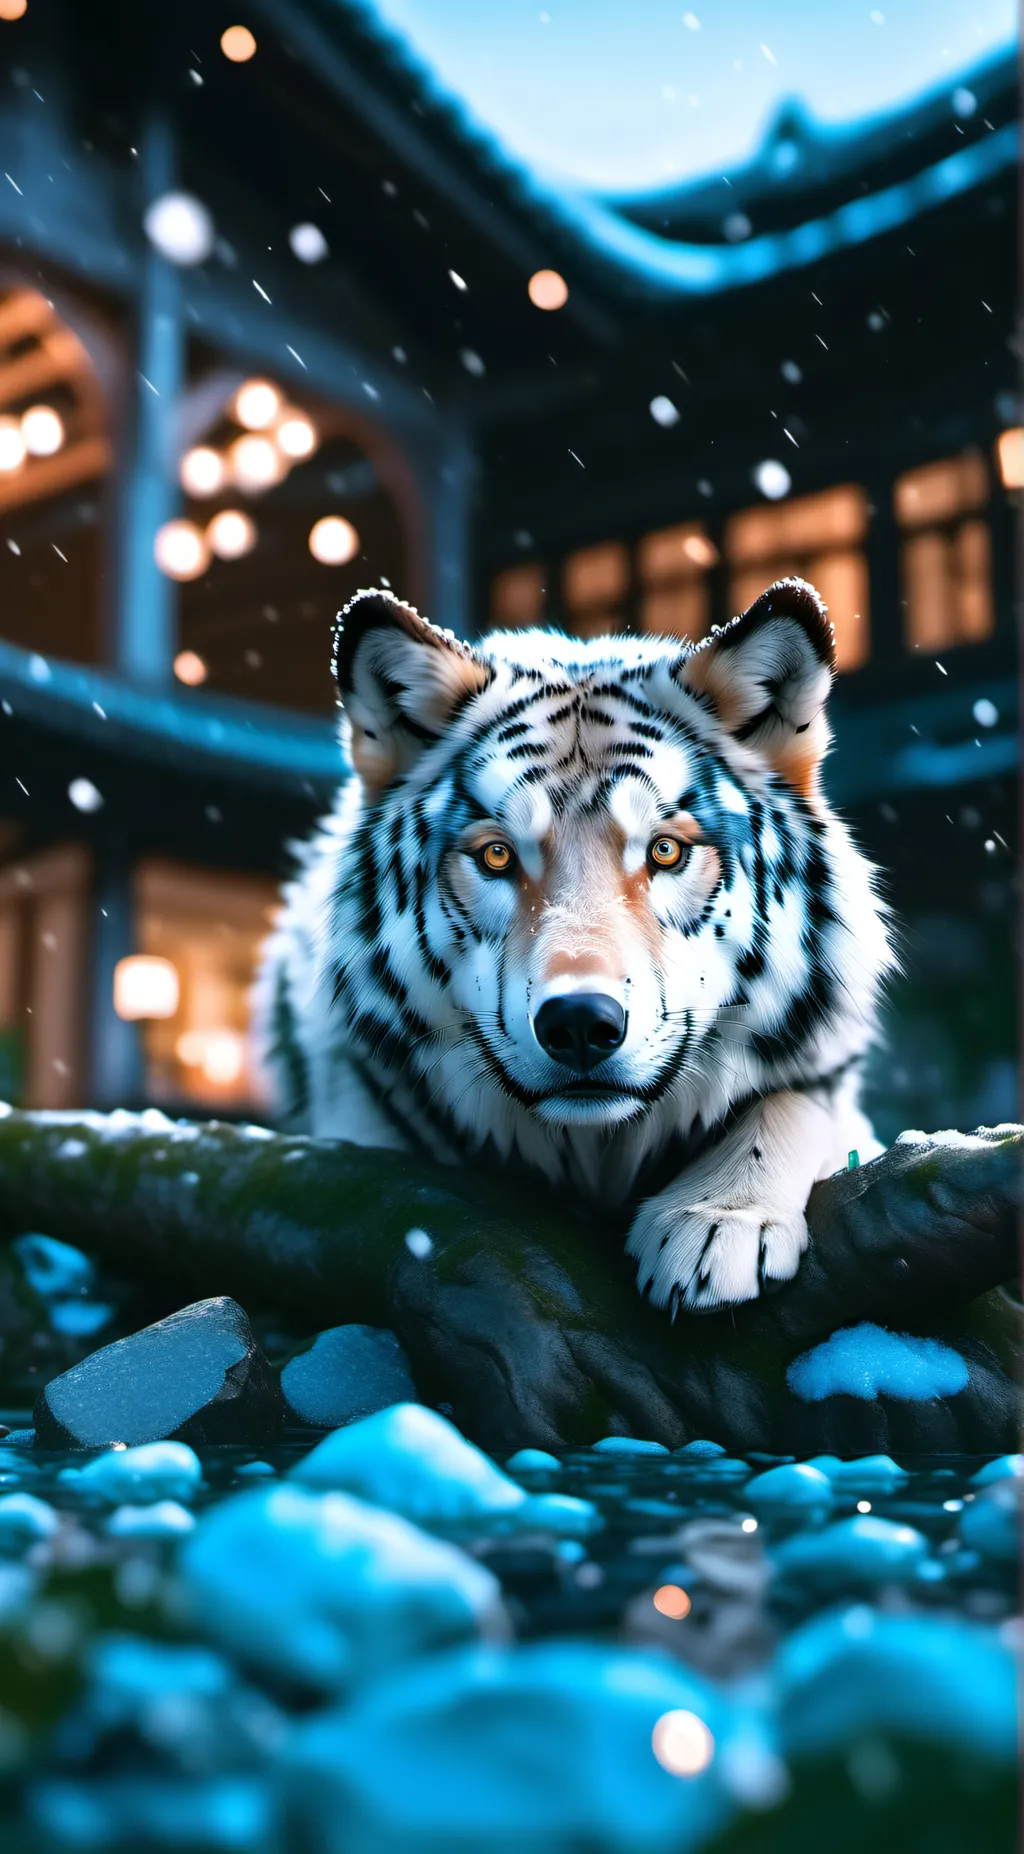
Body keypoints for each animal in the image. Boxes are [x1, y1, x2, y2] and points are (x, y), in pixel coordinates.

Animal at [253, 577, 894, 1314]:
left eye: (665, 851)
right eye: (498, 856)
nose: (581, 1023)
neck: (597, 1156)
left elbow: (794, 1104)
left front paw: (718, 1218)